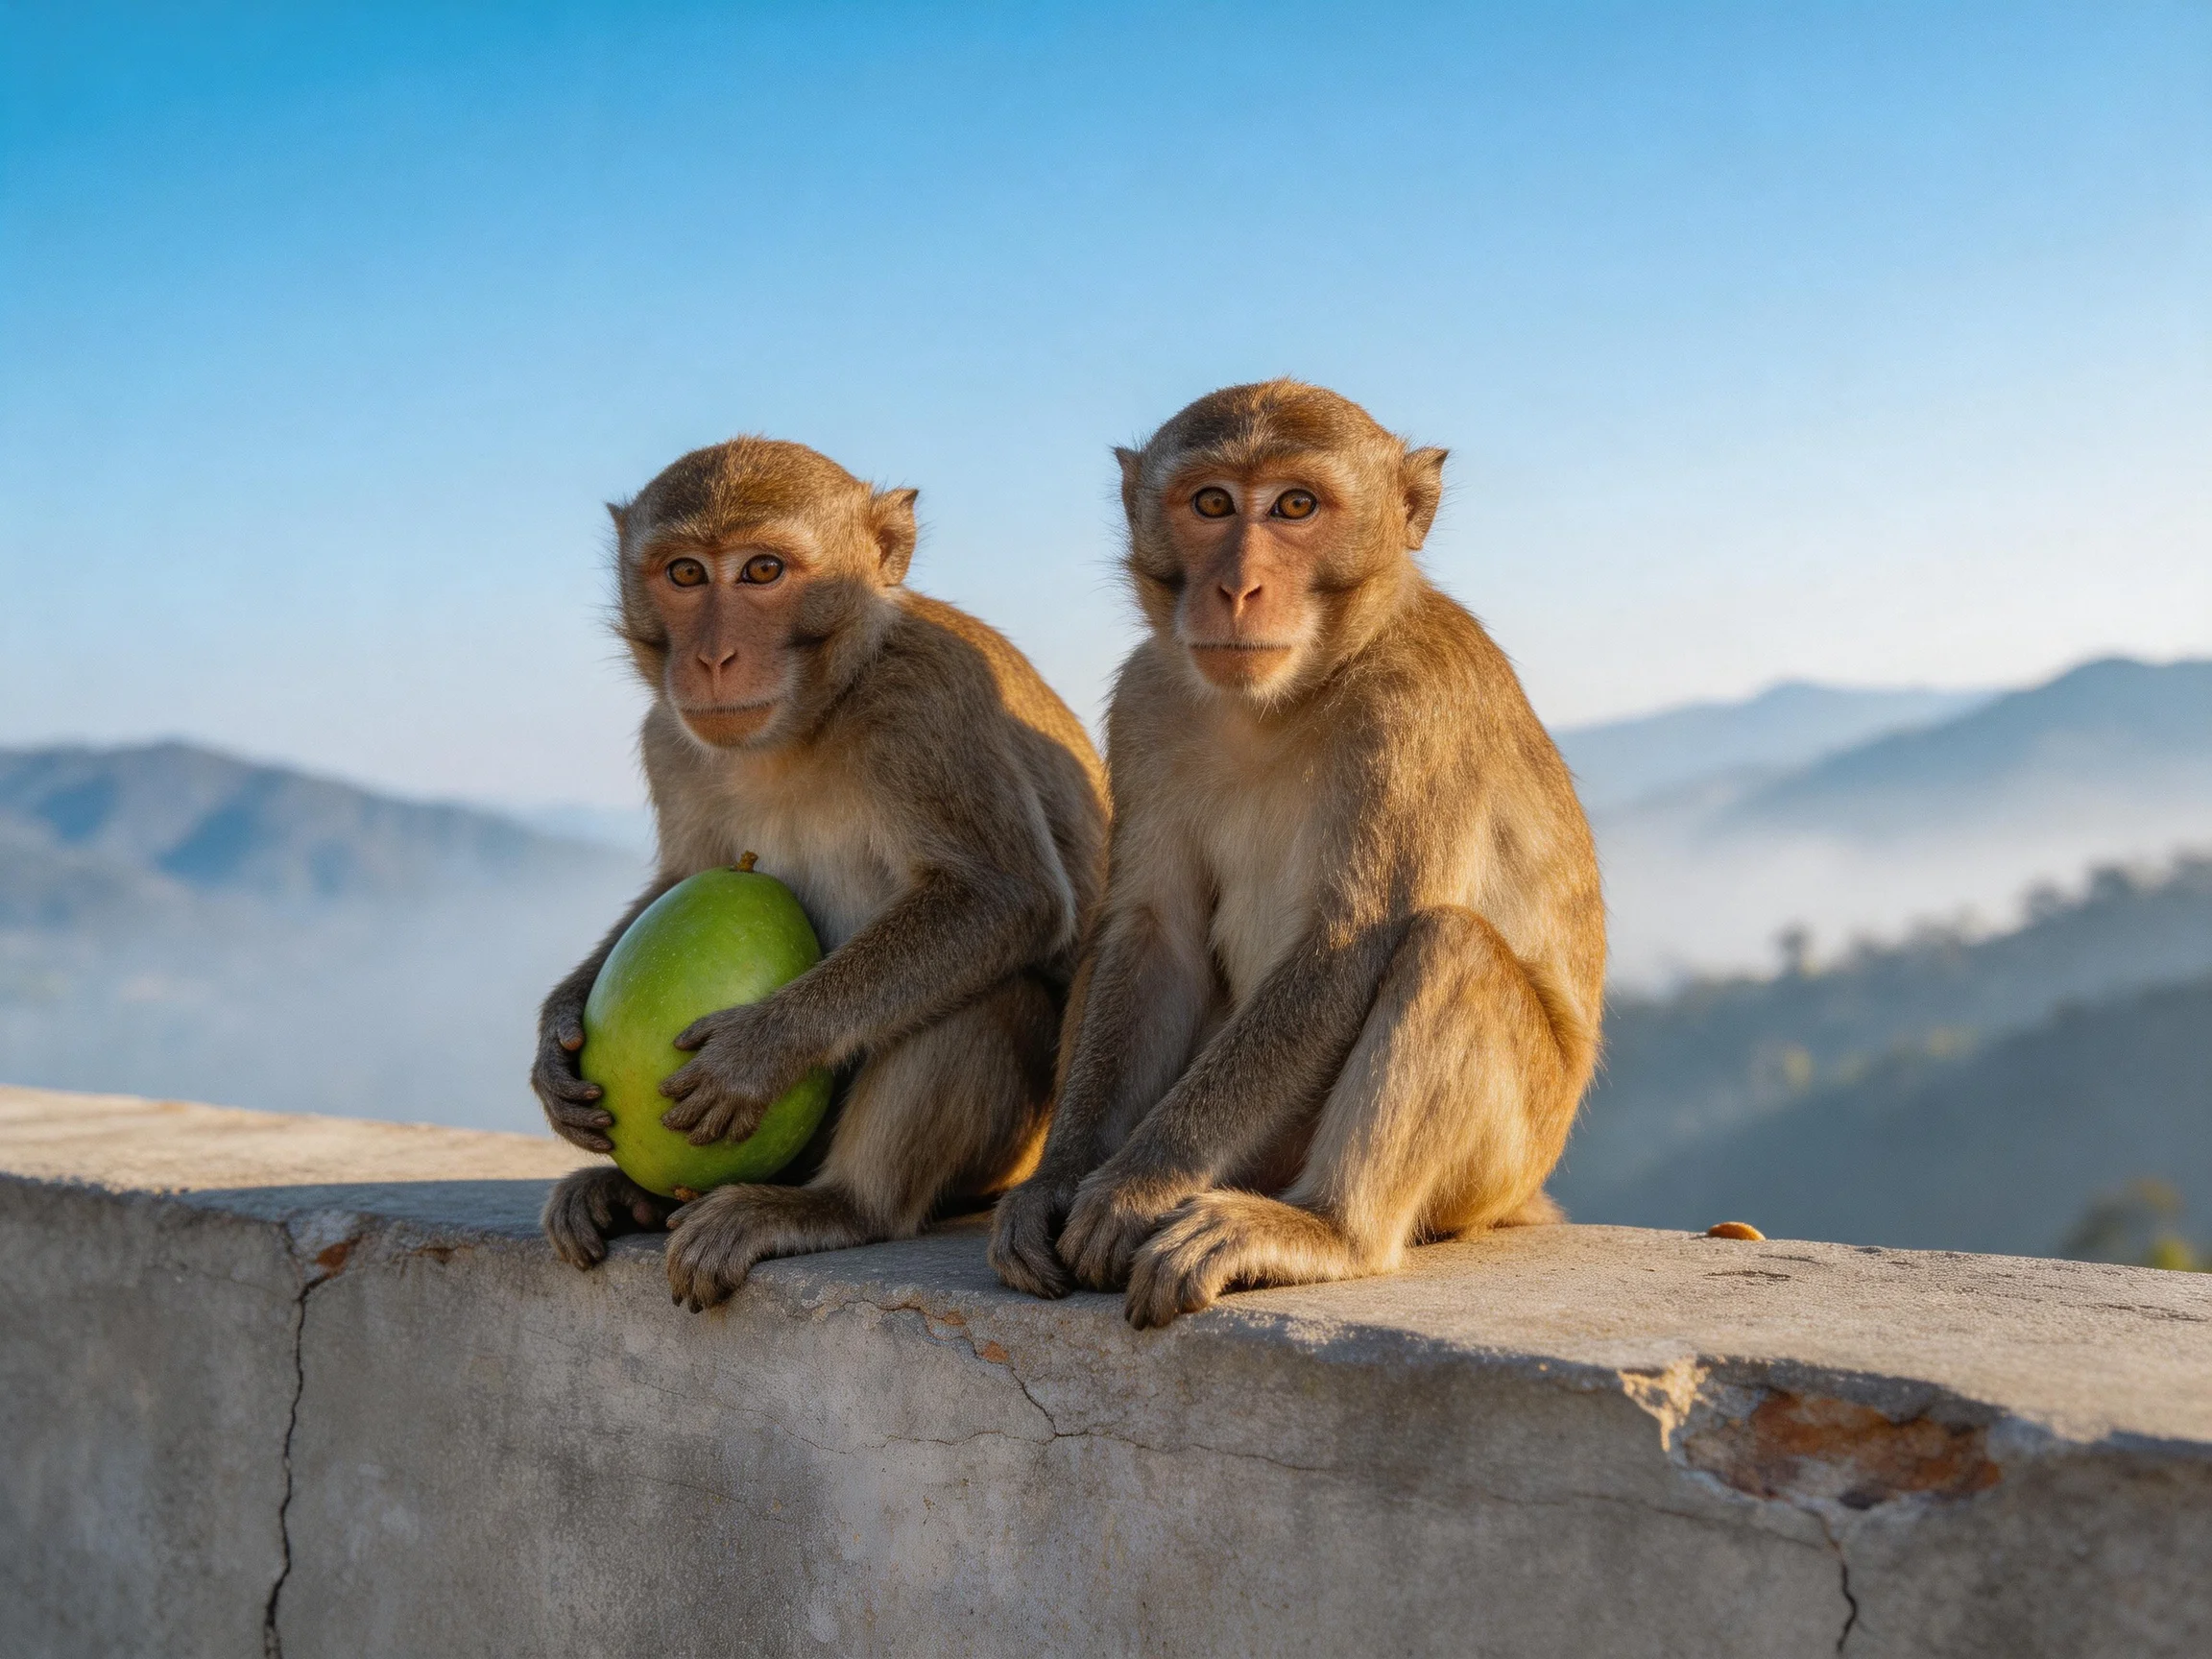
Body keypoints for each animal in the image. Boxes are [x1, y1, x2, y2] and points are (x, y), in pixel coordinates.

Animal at [532, 437, 1107, 1310]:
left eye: (763, 571)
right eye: (686, 573)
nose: (712, 658)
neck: (802, 722)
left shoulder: (927, 702)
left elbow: (1004, 897)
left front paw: (762, 1048)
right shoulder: (669, 736)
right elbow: (678, 878)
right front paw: (555, 1033)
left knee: (980, 994)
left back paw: (836, 1205)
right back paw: (627, 1196)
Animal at [987, 379, 1605, 1328]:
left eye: (1296, 506)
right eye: (1212, 504)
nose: (1238, 586)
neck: (1282, 700)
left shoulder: (1415, 709)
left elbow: (1343, 946)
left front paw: (1135, 1186)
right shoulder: (1148, 700)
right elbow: (1154, 936)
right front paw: (1056, 1182)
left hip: (1505, 1156)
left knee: (1447, 946)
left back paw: (1327, 1230)